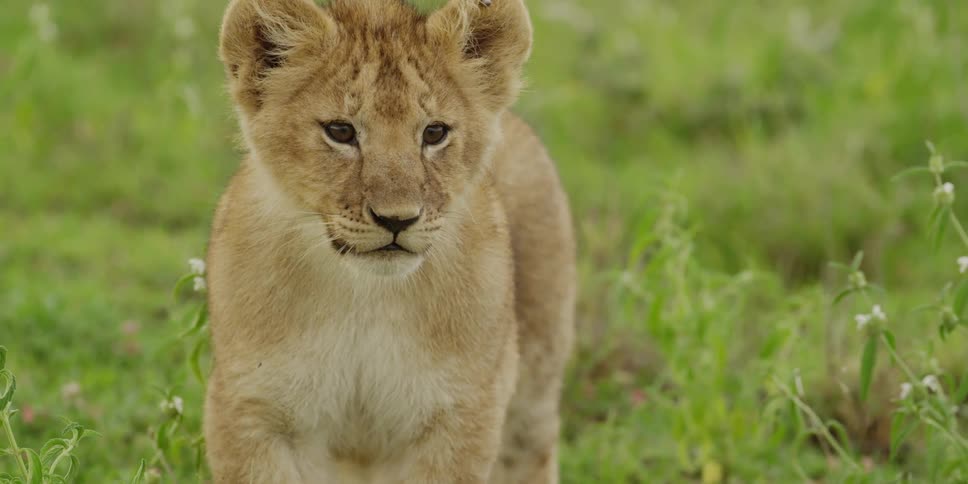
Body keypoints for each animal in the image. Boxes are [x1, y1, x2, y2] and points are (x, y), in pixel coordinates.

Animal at [203, 0, 576, 482]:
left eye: (434, 133)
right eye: (340, 131)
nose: (397, 219)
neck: (364, 296)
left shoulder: (461, 414)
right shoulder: (253, 409)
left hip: (534, 390)